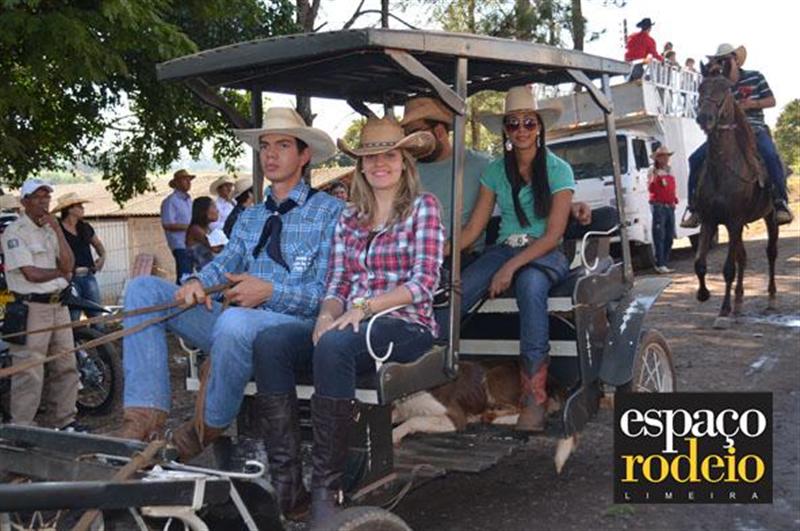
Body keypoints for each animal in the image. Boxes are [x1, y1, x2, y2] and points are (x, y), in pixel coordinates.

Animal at [391, 360, 579, 474]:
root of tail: (552, 378)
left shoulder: (454, 416)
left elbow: (415, 419)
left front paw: (395, 434)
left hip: (494, 376)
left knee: (535, 409)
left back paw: (491, 415)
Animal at [693, 63, 778, 328]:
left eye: (725, 90)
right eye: (701, 88)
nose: (705, 118)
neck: (723, 170)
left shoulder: (733, 221)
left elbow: (728, 268)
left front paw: (723, 311)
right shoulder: (709, 220)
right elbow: (700, 264)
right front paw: (703, 294)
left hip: (770, 217)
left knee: (771, 253)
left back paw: (771, 298)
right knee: (743, 256)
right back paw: (739, 301)